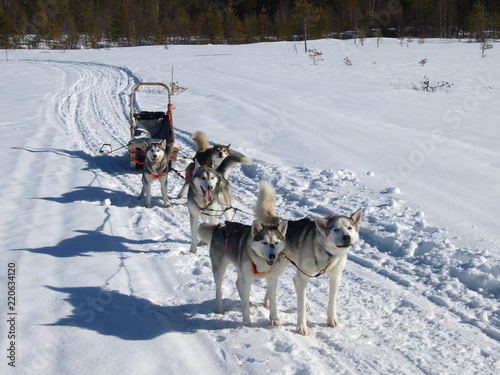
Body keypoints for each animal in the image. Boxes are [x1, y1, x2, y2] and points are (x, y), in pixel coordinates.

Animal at [256, 181, 362, 336]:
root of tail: (277, 224)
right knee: (274, 281)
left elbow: (332, 301)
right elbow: (300, 308)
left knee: (294, 280)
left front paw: (331, 320)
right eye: (336, 229)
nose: (347, 237)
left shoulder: (335, 277)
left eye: (350, 228)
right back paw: (269, 303)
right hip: (281, 265)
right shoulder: (304, 275)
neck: (326, 253)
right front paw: (301, 327)